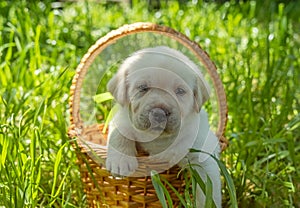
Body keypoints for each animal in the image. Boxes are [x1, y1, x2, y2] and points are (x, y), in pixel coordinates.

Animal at [106, 46, 221, 207]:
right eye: (143, 88)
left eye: (180, 91)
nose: (159, 113)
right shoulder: (122, 117)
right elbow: (119, 132)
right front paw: (121, 161)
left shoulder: (203, 156)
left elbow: (208, 191)